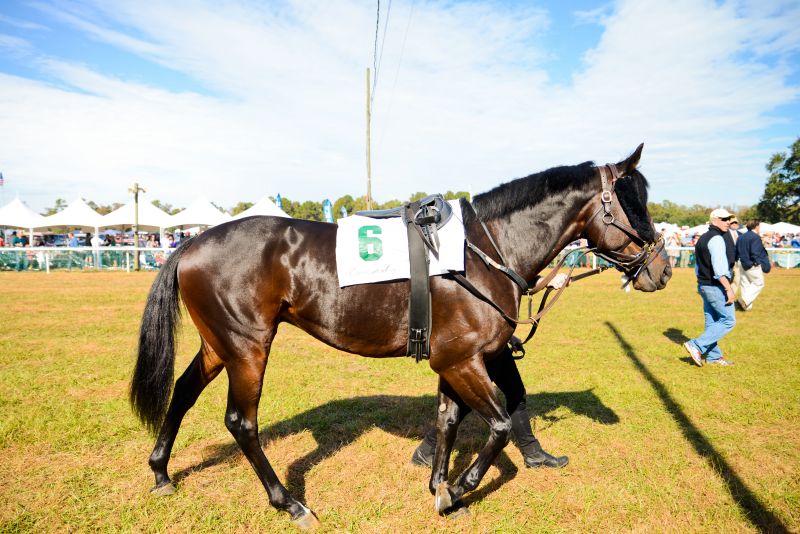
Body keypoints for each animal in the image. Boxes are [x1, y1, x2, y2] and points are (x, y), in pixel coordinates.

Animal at [130, 143, 668, 532]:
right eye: (634, 205)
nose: (661, 269)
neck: (483, 250)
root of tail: (191, 244)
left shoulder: (456, 360)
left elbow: (448, 421)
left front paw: (441, 487)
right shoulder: (462, 361)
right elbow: (497, 426)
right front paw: (461, 488)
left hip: (219, 344)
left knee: (182, 393)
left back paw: (160, 471)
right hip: (248, 348)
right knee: (241, 422)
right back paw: (290, 503)